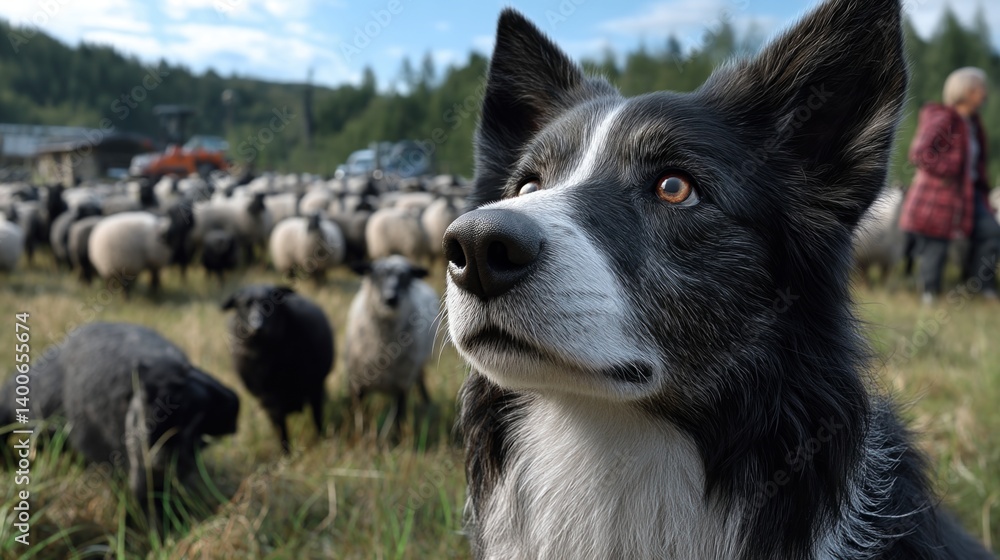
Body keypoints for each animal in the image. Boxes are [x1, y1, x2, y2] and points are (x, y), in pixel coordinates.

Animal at [222, 285, 334, 452]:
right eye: (244, 304)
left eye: (270, 302)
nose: (257, 327)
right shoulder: (269, 401)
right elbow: (280, 429)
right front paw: (286, 453)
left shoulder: (315, 388)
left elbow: (317, 419)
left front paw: (323, 442)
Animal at [344, 256, 438, 433]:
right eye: (378, 275)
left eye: (406, 277)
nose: (391, 299)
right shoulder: (358, 382)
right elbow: (360, 415)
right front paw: (359, 434)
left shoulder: (401, 385)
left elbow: (398, 418)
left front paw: (397, 436)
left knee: (420, 377)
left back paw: (427, 401)